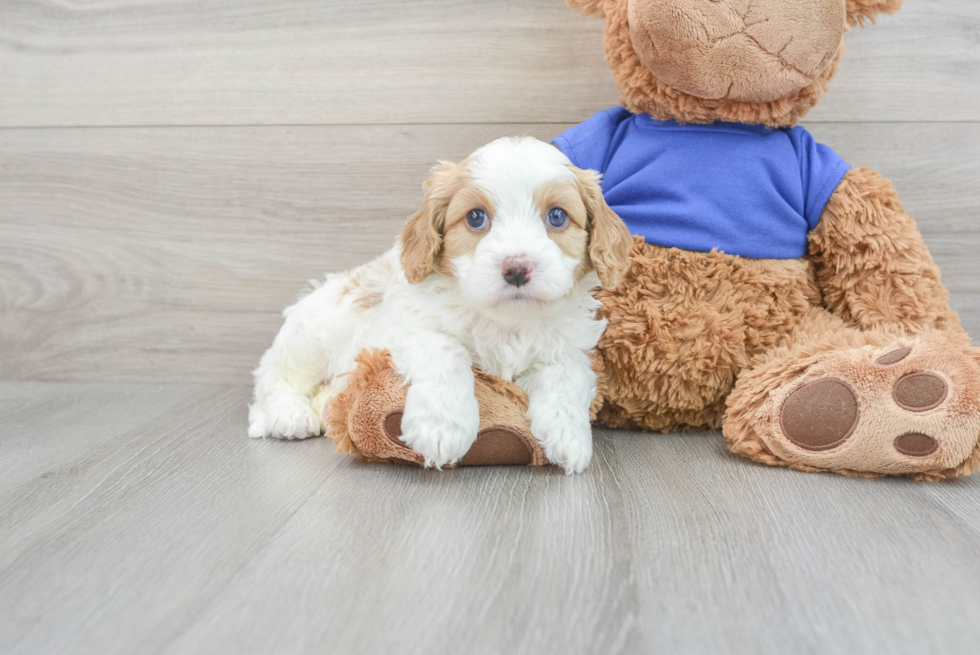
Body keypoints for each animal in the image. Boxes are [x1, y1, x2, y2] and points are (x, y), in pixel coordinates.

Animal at [249, 138, 632, 474]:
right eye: (476, 217)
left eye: (556, 217)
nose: (516, 268)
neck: (507, 322)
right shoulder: (403, 330)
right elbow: (445, 347)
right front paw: (441, 426)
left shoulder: (569, 347)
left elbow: (567, 374)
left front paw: (568, 435)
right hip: (311, 338)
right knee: (271, 377)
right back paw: (288, 414)